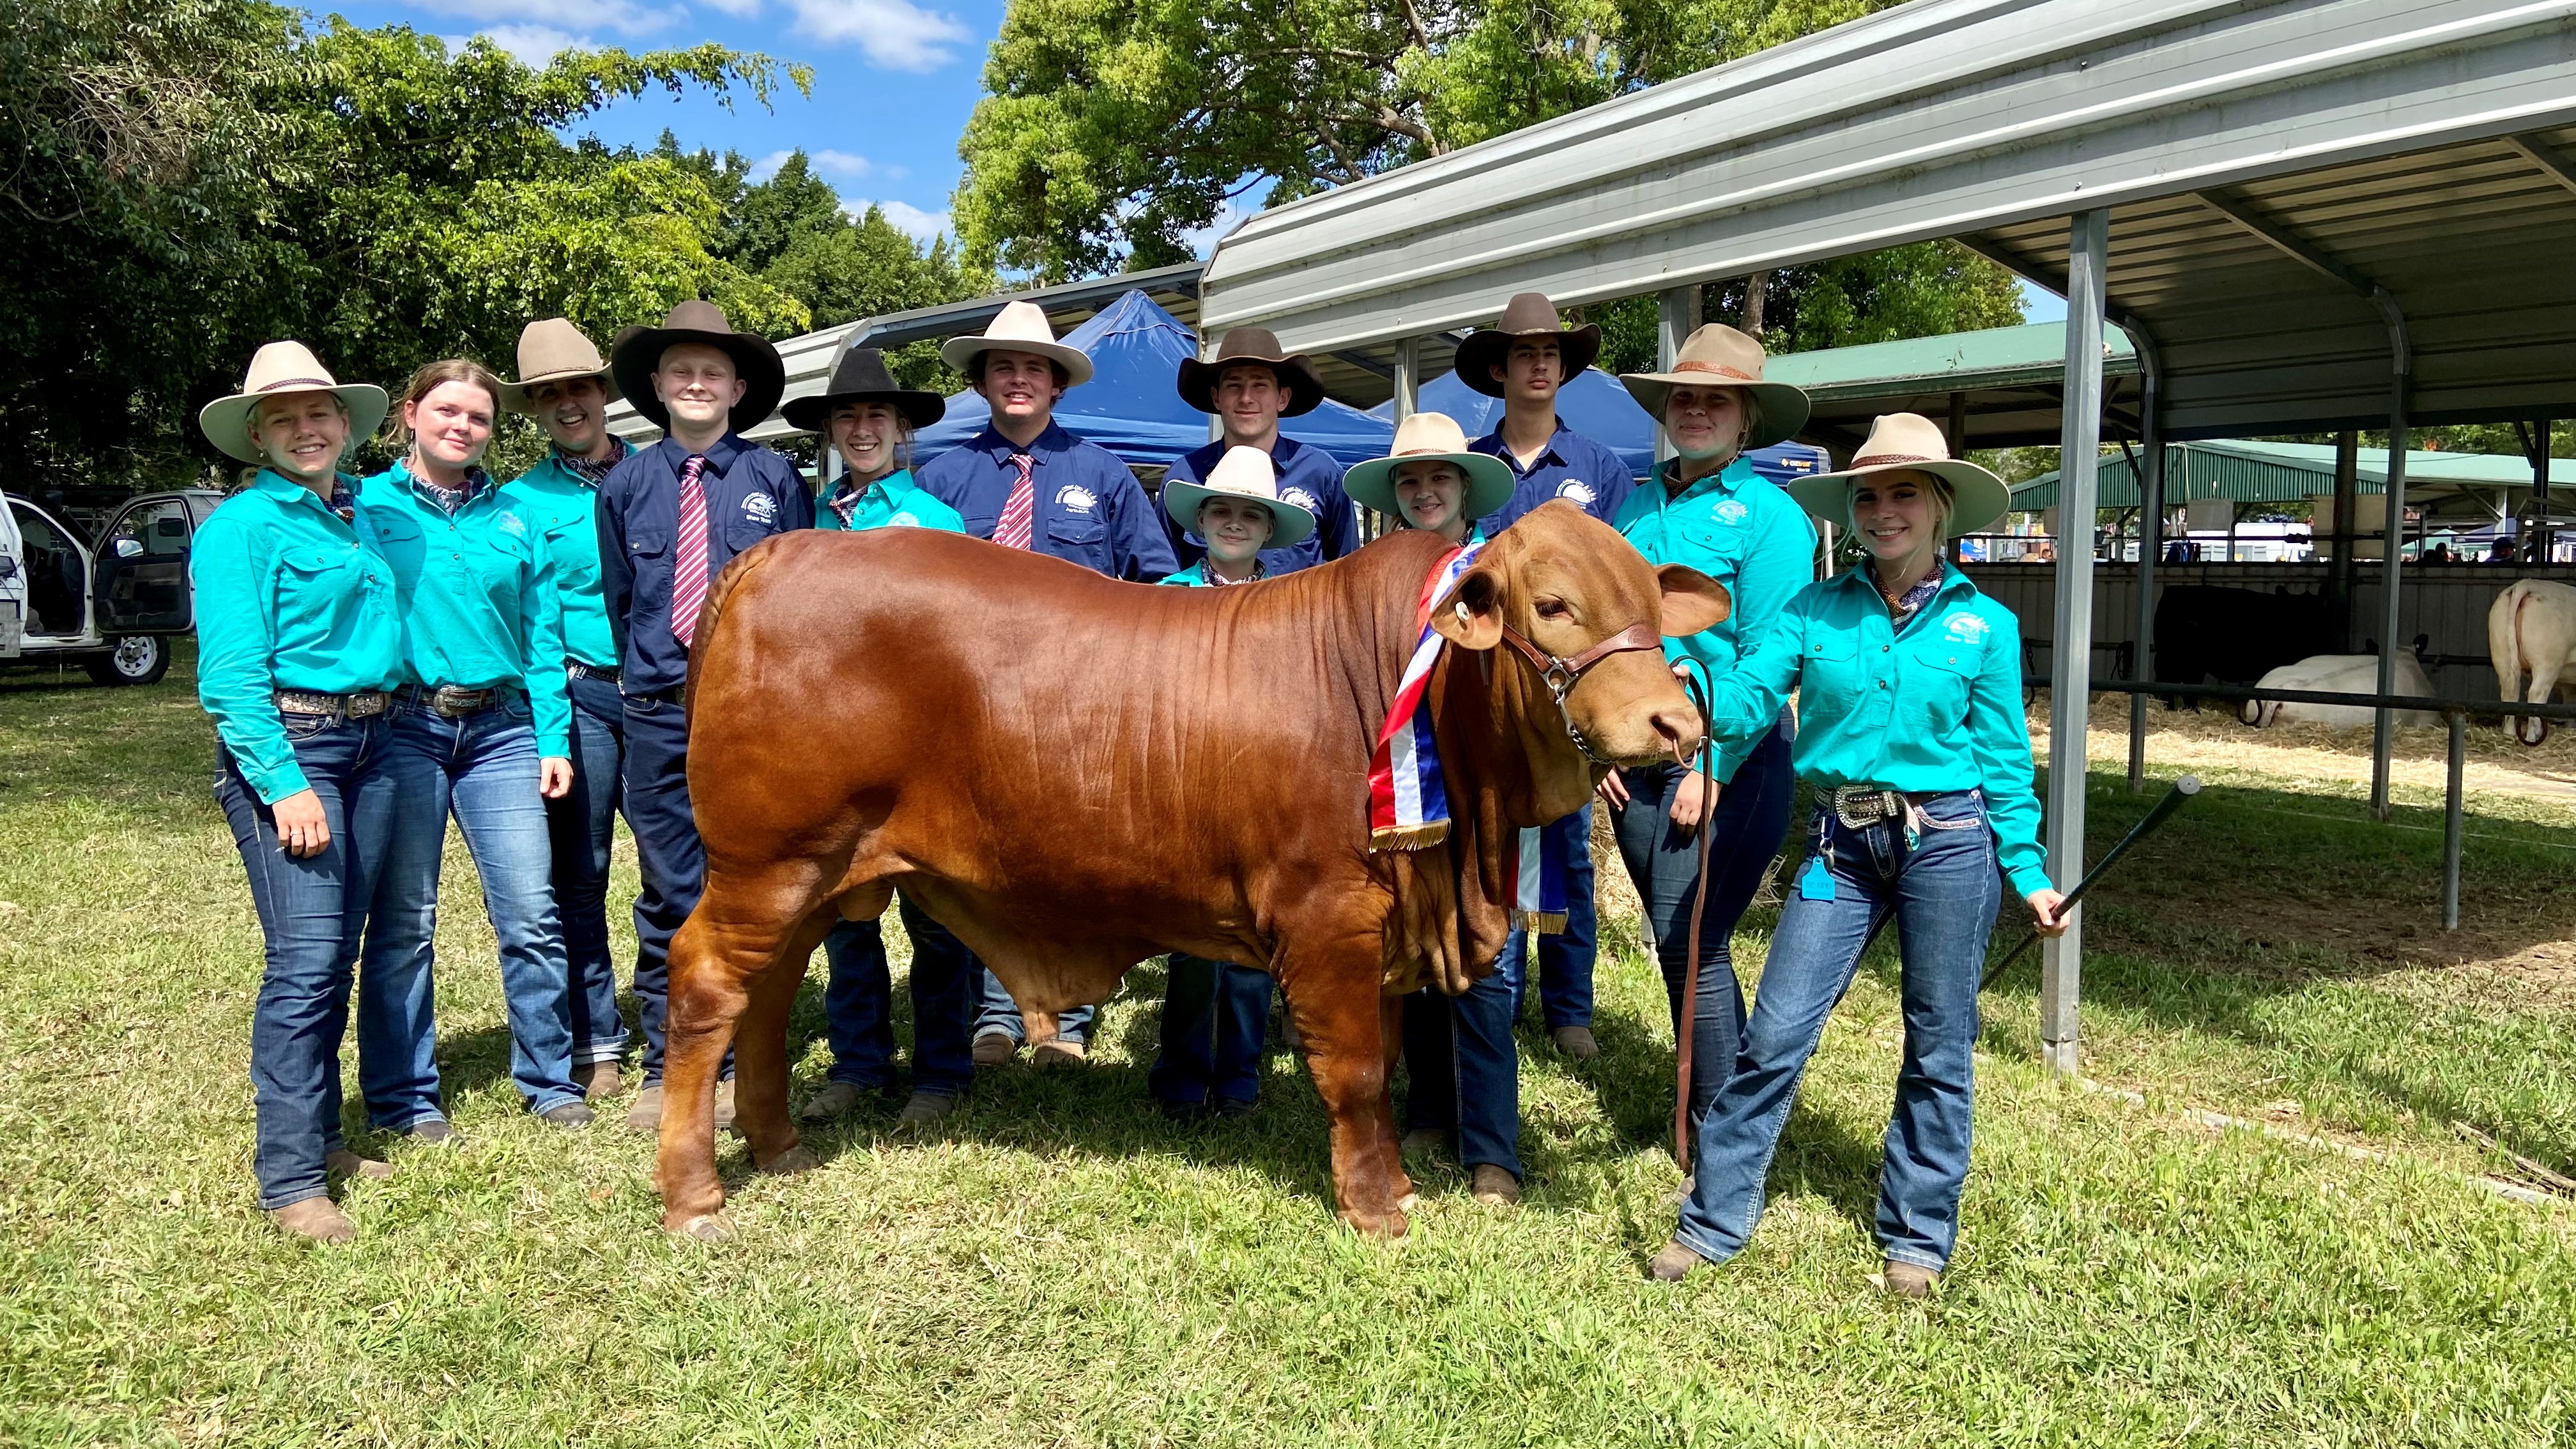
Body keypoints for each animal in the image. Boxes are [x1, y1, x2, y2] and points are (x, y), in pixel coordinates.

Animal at [651, 503, 1726, 1242]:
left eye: (1648, 603)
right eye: (1552, 605)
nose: (1678, 722)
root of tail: (780, 551)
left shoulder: (1378, 926)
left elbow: (1380, 1063)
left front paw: (1394, 1184)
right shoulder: (1328, 915)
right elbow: (1357, 1072)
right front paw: (1376, 1210)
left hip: (812, 874)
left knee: (767, 990)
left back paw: (779, 1147)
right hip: (768, 861)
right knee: (706, 986)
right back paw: (695, 1195)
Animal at [2490, 579, 2576, 745]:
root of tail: (2525, 584)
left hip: (2502, 656)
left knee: (2510, 693)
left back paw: (2509, 734)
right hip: (2547, 662)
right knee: (2536, 695)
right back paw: (2533, 737)